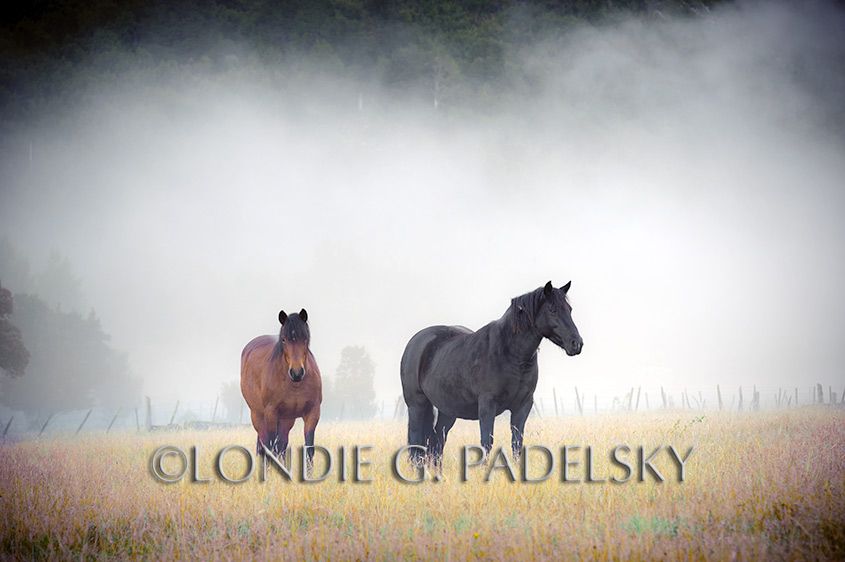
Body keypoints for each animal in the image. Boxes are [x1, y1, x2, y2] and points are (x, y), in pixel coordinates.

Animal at [240, 308, 322, 465]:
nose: (297, 372)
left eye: (305, 338)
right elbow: (270, 447)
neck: (295, 384)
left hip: (286, 419)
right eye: (284, 339)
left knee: (281, 445)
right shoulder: (271, 413)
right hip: (258, 416)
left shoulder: (313, 413)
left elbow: (309, 449)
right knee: (265, 446)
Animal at [400, 281, 583, 464]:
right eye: (552, 309)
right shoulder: (487, 405)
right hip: (417, 405)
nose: (576, 343)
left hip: (447, 410)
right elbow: (487, 442)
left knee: (437, 442)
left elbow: (517, 443)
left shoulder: (523, 406)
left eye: (569, 309)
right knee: (416, 443)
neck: (510, 353)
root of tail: (415, 343)